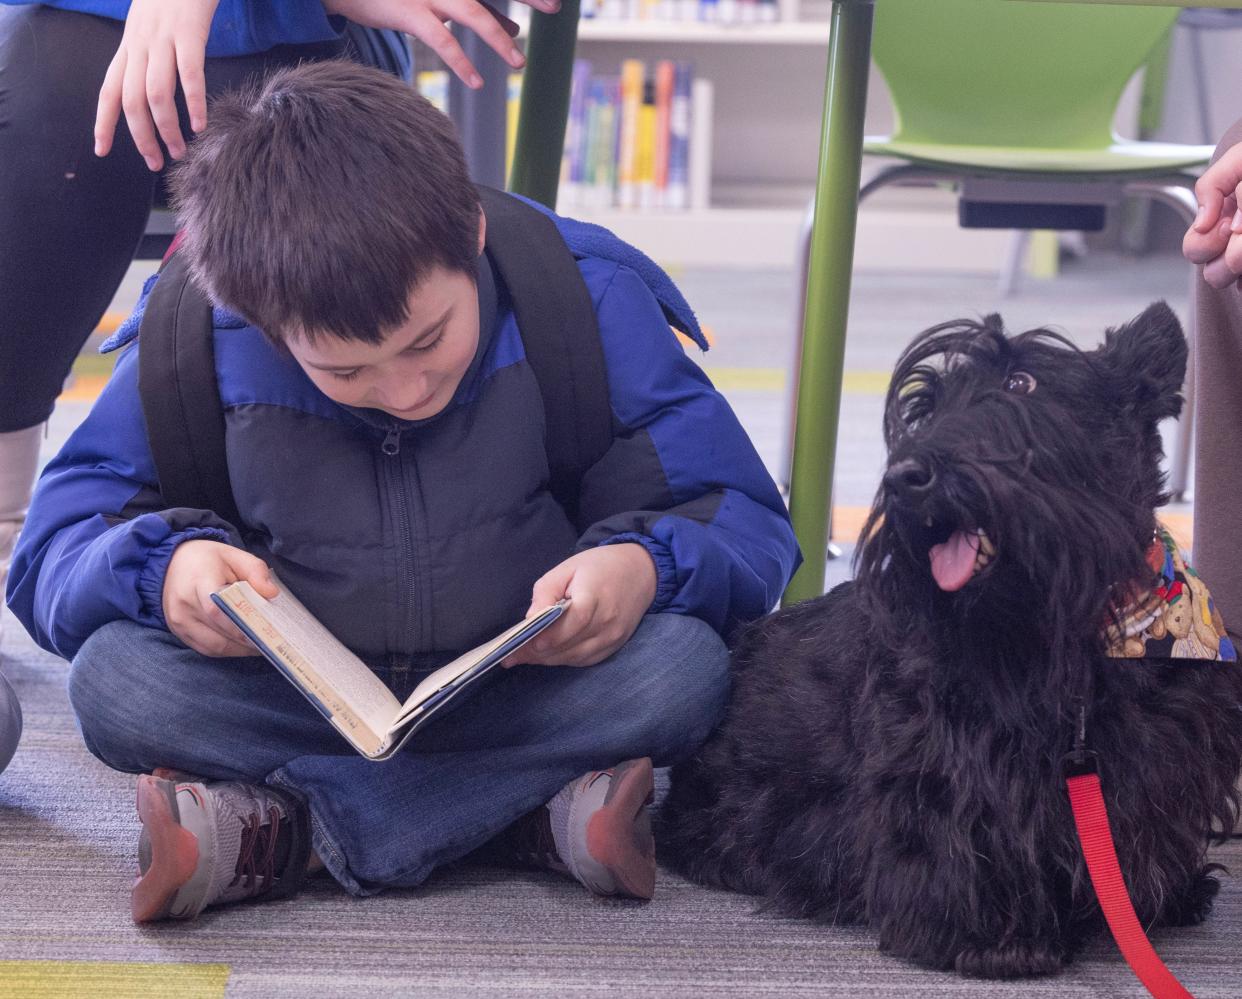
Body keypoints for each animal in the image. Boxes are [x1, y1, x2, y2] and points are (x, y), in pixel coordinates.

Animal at [665, 301, 1242, 974]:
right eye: (925, 409)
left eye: (1021, 383)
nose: (903, 477)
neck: (1075, 633)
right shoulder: (948, 766)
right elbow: (962, 837)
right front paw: (995, 941)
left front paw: (1171, 894)